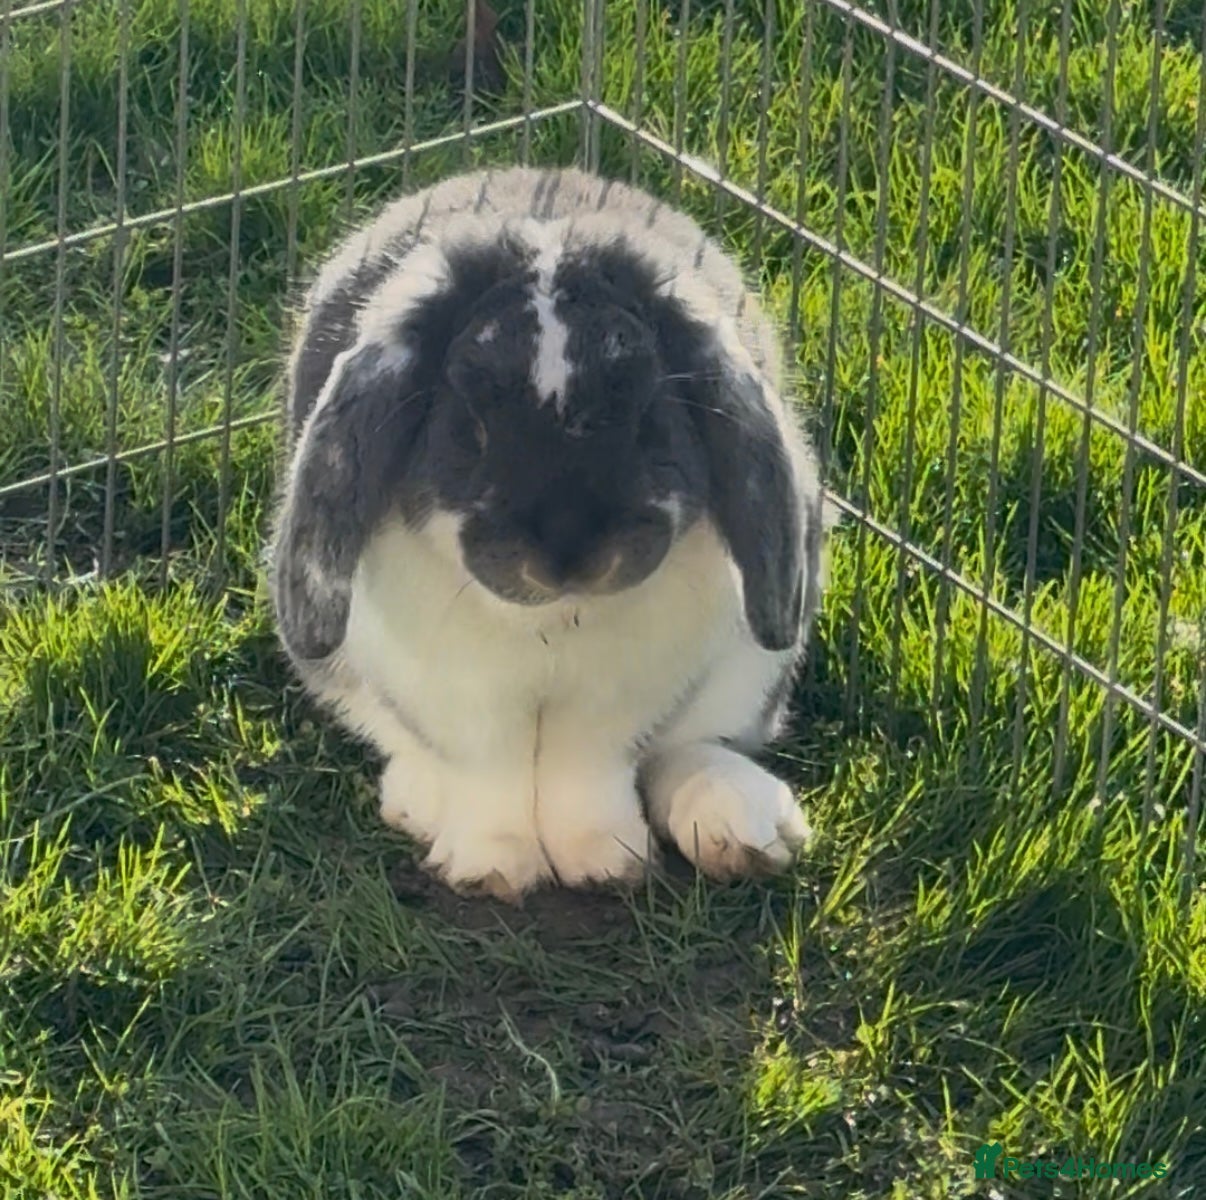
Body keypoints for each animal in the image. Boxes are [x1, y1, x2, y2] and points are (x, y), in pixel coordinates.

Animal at [269, 165, 830, 902]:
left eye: (649, 414)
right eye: (471, 424)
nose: (569, 556)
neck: (554, 620)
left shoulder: (624, 692)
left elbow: (589, 766)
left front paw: (607, 862)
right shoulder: (454, 690)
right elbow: (489, 771)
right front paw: (492, 871)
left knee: (697, 743)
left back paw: (742, 826)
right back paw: (419, 801)